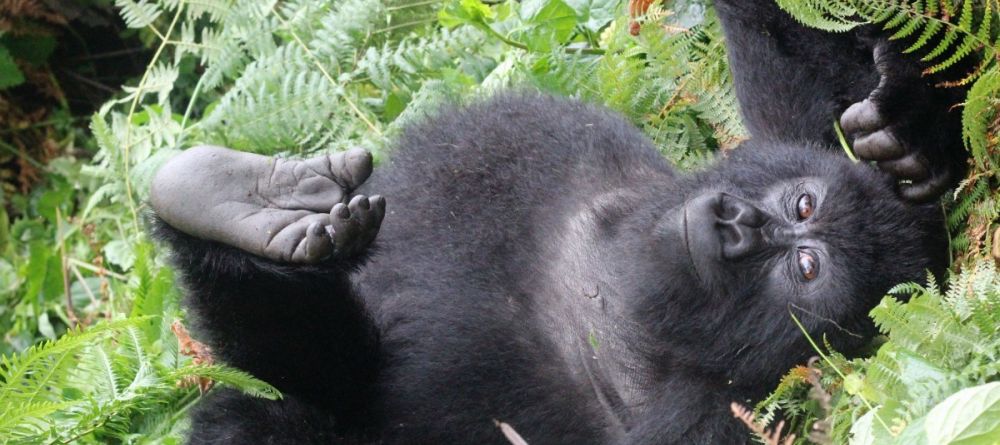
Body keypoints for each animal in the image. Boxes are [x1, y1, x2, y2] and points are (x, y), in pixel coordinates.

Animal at [152, 1, 964, 442]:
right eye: (801, 205)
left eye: (806, 266)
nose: (738, 227)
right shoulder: (525, 146)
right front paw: (911, 121)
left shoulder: (715, 421)